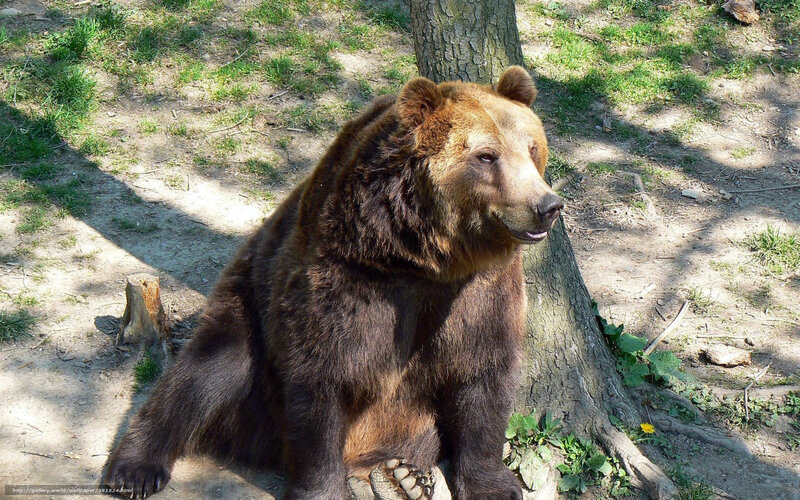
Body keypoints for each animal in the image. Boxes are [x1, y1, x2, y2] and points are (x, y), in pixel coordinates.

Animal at [104, 65, 563, 500]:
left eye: (531, 147)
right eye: (486, 156)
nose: (547, 205)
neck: (425, 257)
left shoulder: (479, 292)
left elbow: (483, 376)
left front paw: (493, 484)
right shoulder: (349, 277)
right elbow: (323, 374)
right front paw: (321, 489)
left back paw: (398, 478)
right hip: (249, 304)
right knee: (207, 369)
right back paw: (133, 468)